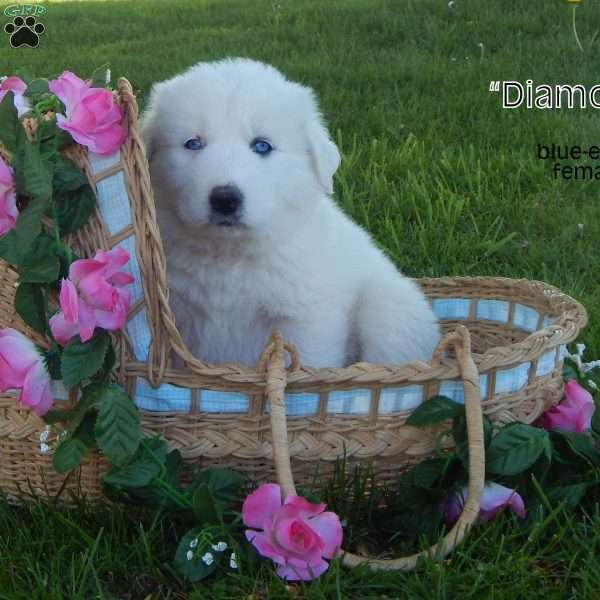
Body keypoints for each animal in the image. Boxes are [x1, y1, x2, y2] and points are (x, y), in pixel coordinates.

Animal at [141, 58, 440, 368]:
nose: (225, 199)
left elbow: (308, 366)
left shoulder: (306, 321)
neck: (229, 255)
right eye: (193, 143)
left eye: (262, 145)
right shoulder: (179, 319)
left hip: (388, 312)